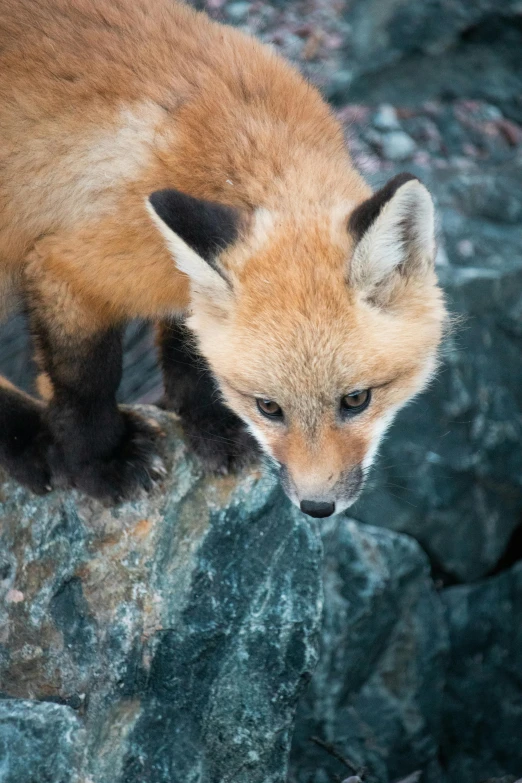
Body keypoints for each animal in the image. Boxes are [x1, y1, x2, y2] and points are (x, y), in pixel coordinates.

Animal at [0, 0, 446, 516]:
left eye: (356, 399)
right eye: (269, 407)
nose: (316, 507)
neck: (242, 149)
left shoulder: (186, 283)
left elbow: (192, 354)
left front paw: (212, 428)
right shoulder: (66, 267)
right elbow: (85, 383)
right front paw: (100, 461)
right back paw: (25, 439)